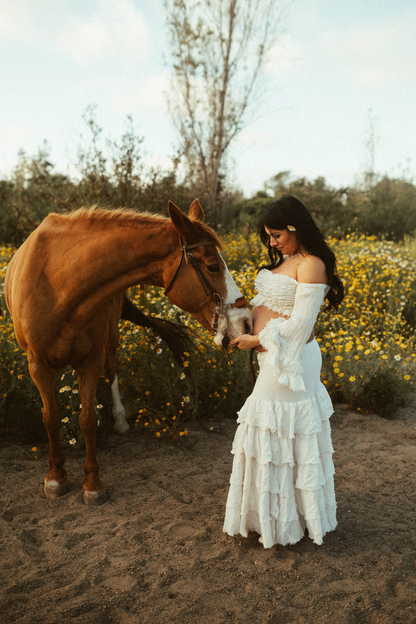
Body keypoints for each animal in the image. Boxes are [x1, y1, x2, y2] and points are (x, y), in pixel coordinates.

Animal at [4, 202, 252, 504]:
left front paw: (92, 484)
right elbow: (50, 418)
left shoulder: (91, 360)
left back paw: (120, 420)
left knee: (112, 368)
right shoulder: (37, 364)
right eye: (213, 266)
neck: (59, 284)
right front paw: (55, 478)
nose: (246, 322)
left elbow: (87, 420)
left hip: (110, 335)